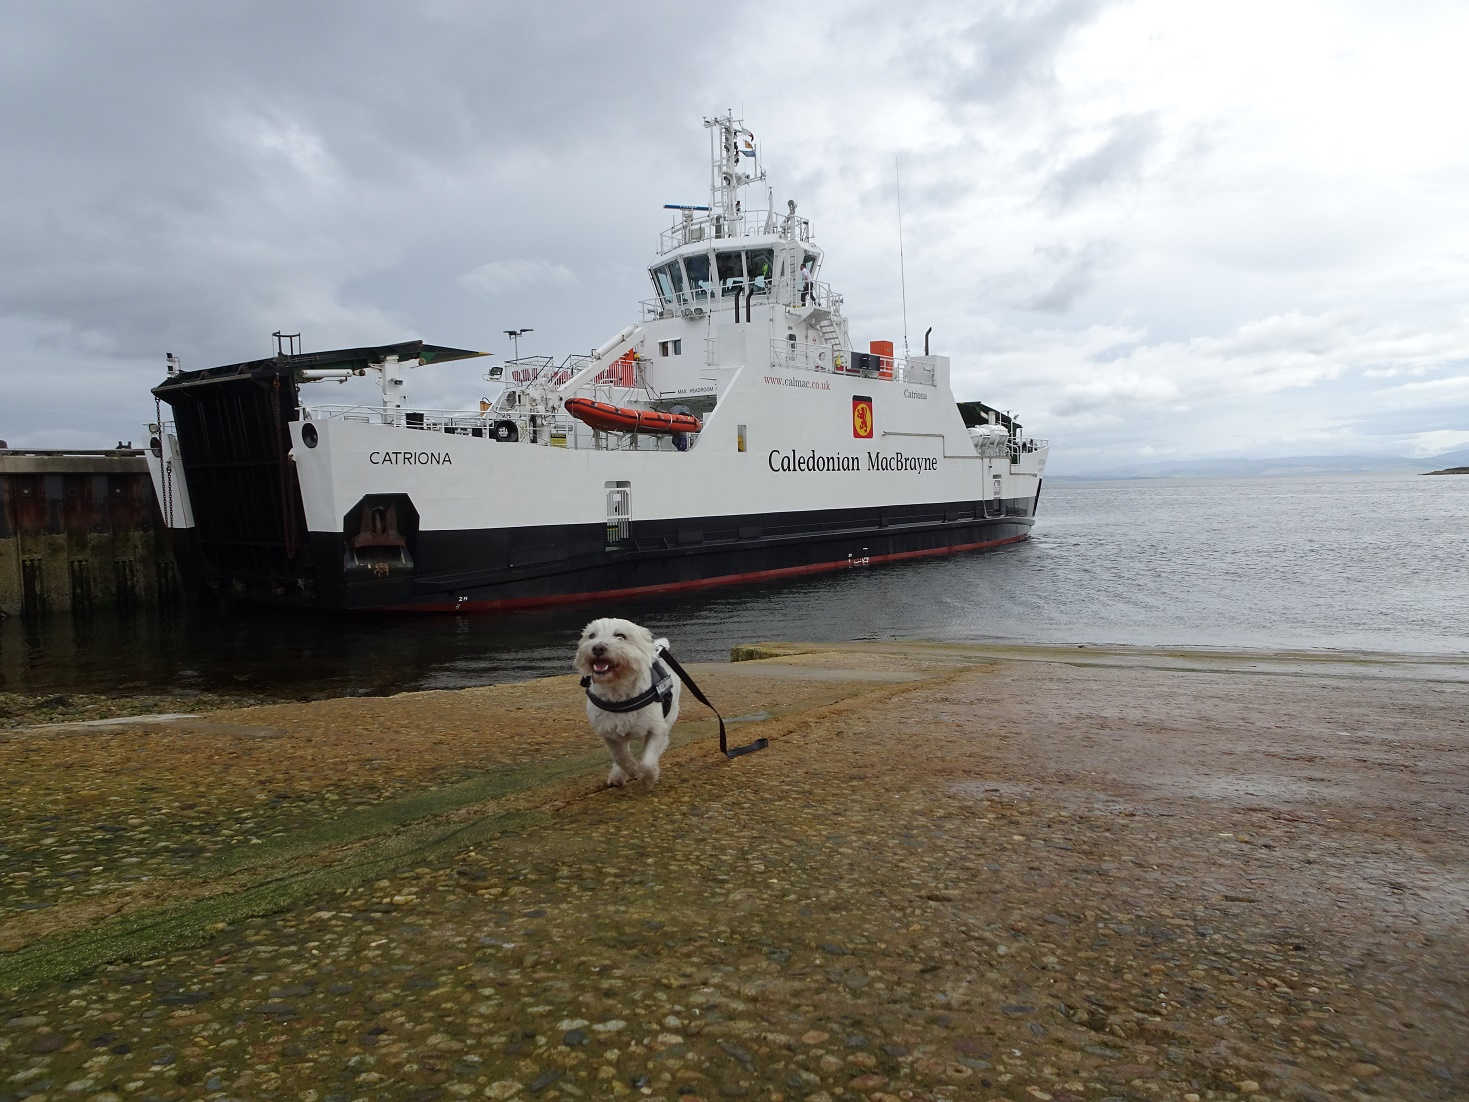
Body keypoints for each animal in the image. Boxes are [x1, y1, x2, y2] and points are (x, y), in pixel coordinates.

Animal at [575, 617, 684, 787]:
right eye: (591, 636)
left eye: (621, 635)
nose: (597, 648)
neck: (618, 689)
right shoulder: (609, 732)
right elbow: (621, 757)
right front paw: (632, 770)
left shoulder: (656, 728)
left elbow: (647, 762)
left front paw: (649, 777)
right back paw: (617, 775)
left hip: (670, 715)